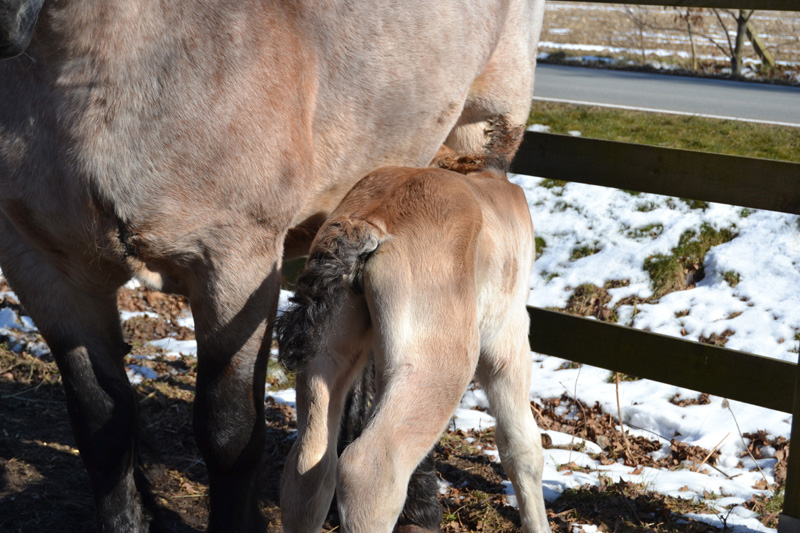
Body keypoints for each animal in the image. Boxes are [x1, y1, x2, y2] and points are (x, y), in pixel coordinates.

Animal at [0, 2, 544, 528]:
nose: (8, 24)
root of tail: (365, 228)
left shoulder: (235, 265)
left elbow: (216, 431)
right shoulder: (43, 269)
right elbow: (105, 427)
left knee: (322, 461)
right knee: (364, 461)